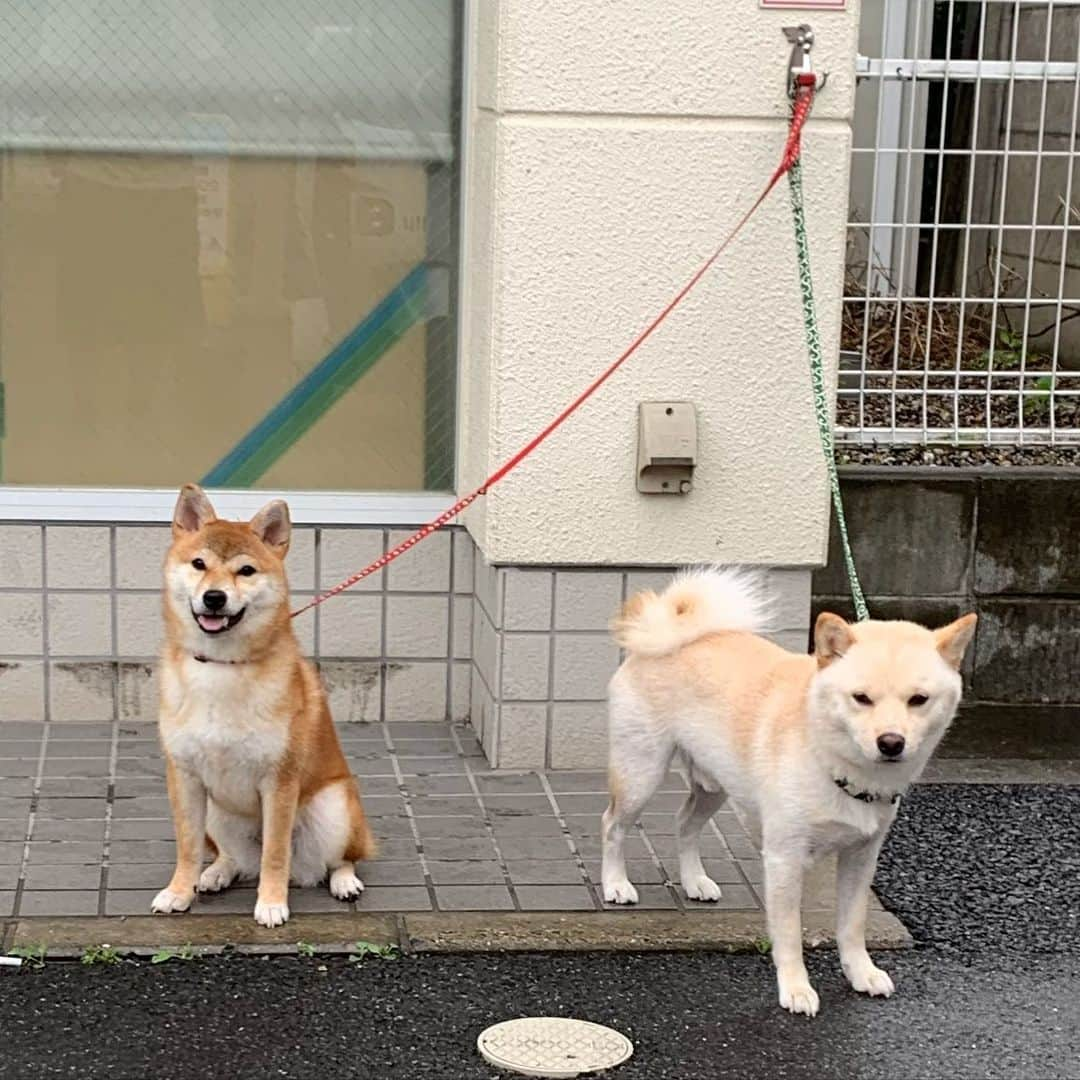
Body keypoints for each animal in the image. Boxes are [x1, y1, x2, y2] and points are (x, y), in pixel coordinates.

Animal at [150, 486, 373, 924]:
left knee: (339, 858)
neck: (221, 668)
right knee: (232, 856)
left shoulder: (278, 780)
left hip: (335, 808)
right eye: (199, 564)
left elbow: (275, 853)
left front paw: (271, 903)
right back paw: (216, 872)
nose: (213, 597)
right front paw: (179, 892)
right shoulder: (184, 777)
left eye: (246, 571)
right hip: (217, 813)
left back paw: (343, 882)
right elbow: (188, 848)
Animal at [604, 570, 976, 1015]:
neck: (834, 762)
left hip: (716, 785)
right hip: (641, 773)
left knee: (684, 823)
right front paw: (796, 989)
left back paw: (694, 881)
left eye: (918, 700)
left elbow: (851, 926)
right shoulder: (784, 857)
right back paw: (615, 884)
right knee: (612, 825)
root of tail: (669, 629)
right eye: (861, 698)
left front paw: (861, 972)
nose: (891, 742)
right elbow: (789, 935)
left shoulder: (861, 856)